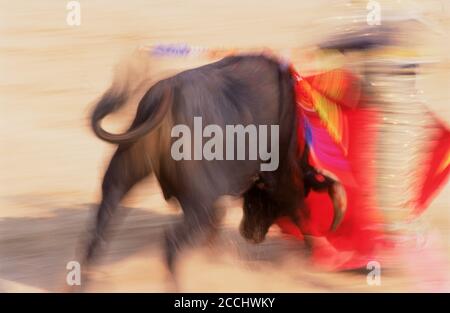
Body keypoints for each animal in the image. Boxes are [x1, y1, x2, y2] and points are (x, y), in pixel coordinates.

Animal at [86, 54, 342, 272]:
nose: (250, 234)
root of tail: (161, 102)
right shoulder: (281, 174)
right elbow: (299, 209)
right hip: (199, 204)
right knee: (171, 243)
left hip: (124, 169)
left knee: (102, 221)